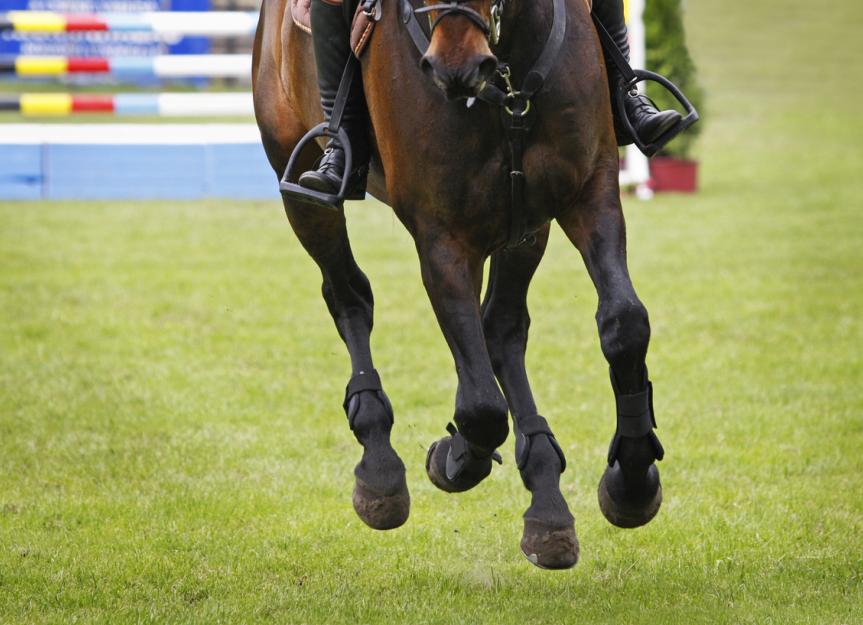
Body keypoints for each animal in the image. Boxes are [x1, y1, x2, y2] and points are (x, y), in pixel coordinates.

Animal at [252, 0, 665, 569]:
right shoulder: (441, 237)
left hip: (524, 226)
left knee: (502, 330)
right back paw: (381, 467)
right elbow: (481, 407)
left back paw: (546, 498)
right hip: (303, 189)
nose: (454, 67)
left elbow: (624, 325)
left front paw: (631, 483)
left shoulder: (588, 191)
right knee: (350, 297)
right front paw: (456, 457)